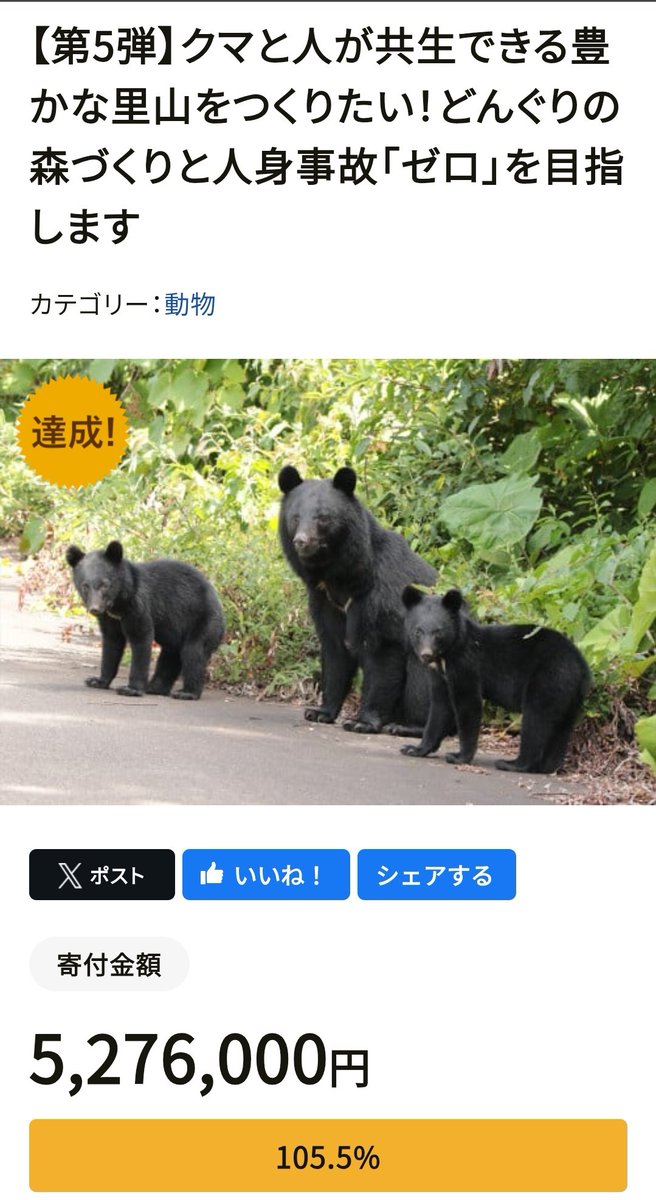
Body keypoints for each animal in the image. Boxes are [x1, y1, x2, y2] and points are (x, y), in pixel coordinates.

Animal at [65, 540, 224, 699]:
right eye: (85, 586)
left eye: (105, 585)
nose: (95, 608)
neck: (118, 604)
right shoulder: (109, 618)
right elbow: (112, 643)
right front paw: (97, 681)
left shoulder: (138, 606)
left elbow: (141, 638)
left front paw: (131, 689)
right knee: (170, 655)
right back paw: (155, 687)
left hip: (203, 621)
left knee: (193, 652)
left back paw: (187, 692)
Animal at [278, 465, 455, 736]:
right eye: (295, 517)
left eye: (322, 517)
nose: (301, 541)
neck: (341, 576)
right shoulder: (324, 600)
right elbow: (335, 651)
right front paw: (320, 712)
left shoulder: (381, 595)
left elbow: (382, 652)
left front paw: (362, 721)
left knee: (422, 680)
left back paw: (408, 726)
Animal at [400, 586, 591, 773]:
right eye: (418, 631)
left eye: (438, 632)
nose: (426, 655)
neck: (447, 656)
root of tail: (581, 665)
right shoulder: (440, 675)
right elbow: (440, 707)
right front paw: (414, 749)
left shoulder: (466, 665)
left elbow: (468, 704)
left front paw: (459, 756)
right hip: (568, 693)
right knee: (562, 728)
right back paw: (548, 767)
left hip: (549, 678)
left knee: (535, 720)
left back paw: (513, 764)